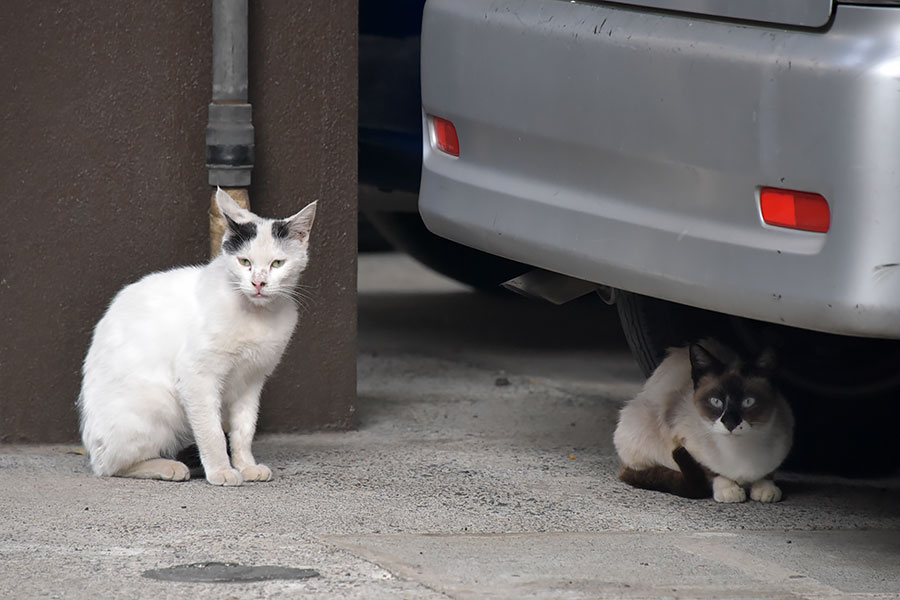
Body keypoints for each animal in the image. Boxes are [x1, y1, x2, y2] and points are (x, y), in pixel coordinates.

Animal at [78, 190, 316, 486]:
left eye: (277, 263)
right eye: (245, 262)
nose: (259, 283)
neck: (257, 314)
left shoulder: (252, 380)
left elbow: (245, 429)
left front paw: (246, 466)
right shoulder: (197, 376)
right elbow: (211, 432)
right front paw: (222, 471)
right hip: (159, 405)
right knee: (111, 465)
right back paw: (169, 467)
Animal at [612, 342, 796, 502]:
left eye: (748, 402)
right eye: (716, 402)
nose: (730, 423)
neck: (739, 450)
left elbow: (768, 472)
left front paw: (766, 489)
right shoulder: (682, 439)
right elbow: (710, 470)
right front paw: (728, 491)